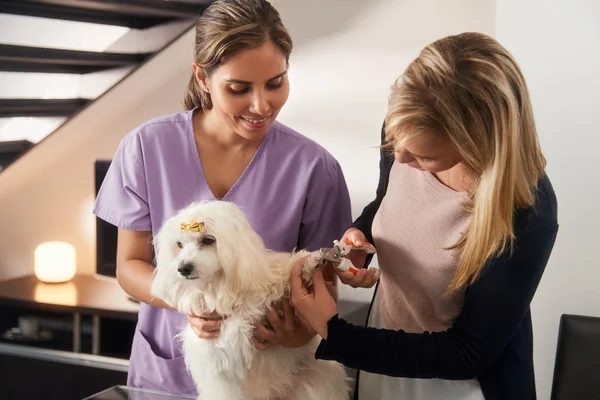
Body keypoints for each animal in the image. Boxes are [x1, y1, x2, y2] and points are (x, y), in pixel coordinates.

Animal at [149, 203, 352, 400]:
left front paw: (308, 263)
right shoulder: (219, 365)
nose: (183, 268)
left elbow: (284, 278)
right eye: (179, 245)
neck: (222, 287)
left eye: (208, 240)